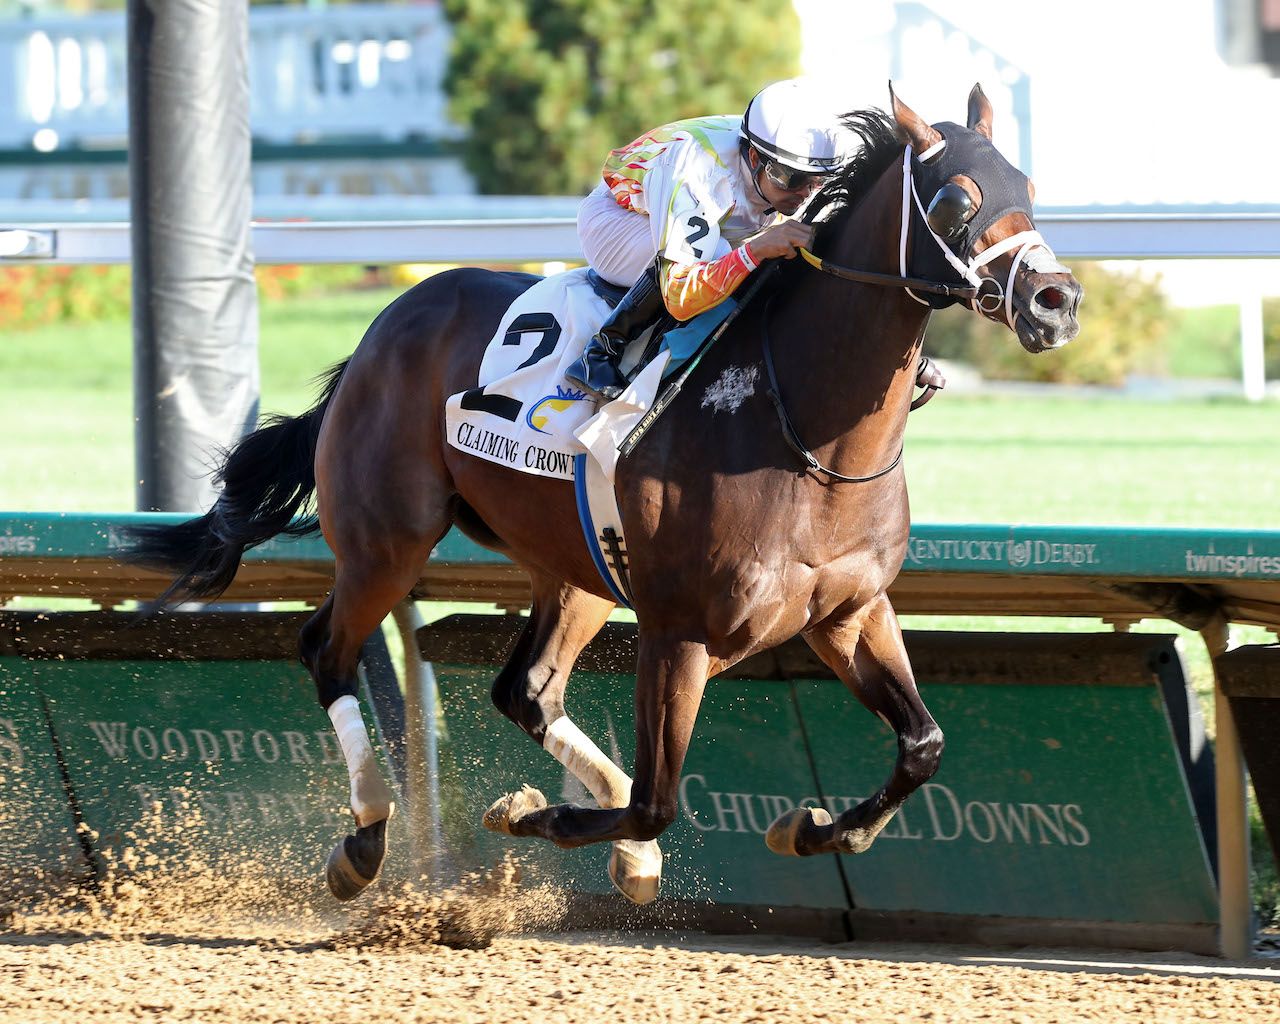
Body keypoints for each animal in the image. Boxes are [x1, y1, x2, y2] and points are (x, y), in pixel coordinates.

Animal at [124, 84, 1082, 907]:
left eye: (1030, 188)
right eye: (956, 201)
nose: (1055, 299)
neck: (805, 433)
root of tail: (381, 330)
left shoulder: (849, 612)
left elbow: (923, 745)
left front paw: (814, 829)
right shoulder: (680, 629)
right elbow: (659, 797)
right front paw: (538, 816)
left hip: (576, 566)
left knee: (527, 689)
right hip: (386, 543)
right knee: (327, 649)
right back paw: (364, 842)